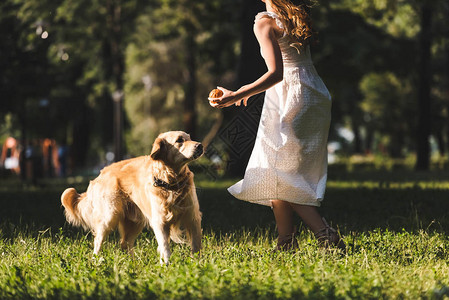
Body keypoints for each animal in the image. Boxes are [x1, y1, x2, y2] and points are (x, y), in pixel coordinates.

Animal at [60, 131, 203, 264]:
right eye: (179, 140)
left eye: (190, 138)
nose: (200, 145)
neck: (171, 184)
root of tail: (100, 174)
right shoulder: (160, 222)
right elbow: (165, 248)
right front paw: (166, 265)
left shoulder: (193, 218)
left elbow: (196, 247)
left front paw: (197, 265)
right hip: (109, 217)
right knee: (98, 243)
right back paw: (97, 262)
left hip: (134, 222)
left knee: (125, 243)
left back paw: (133, 263)